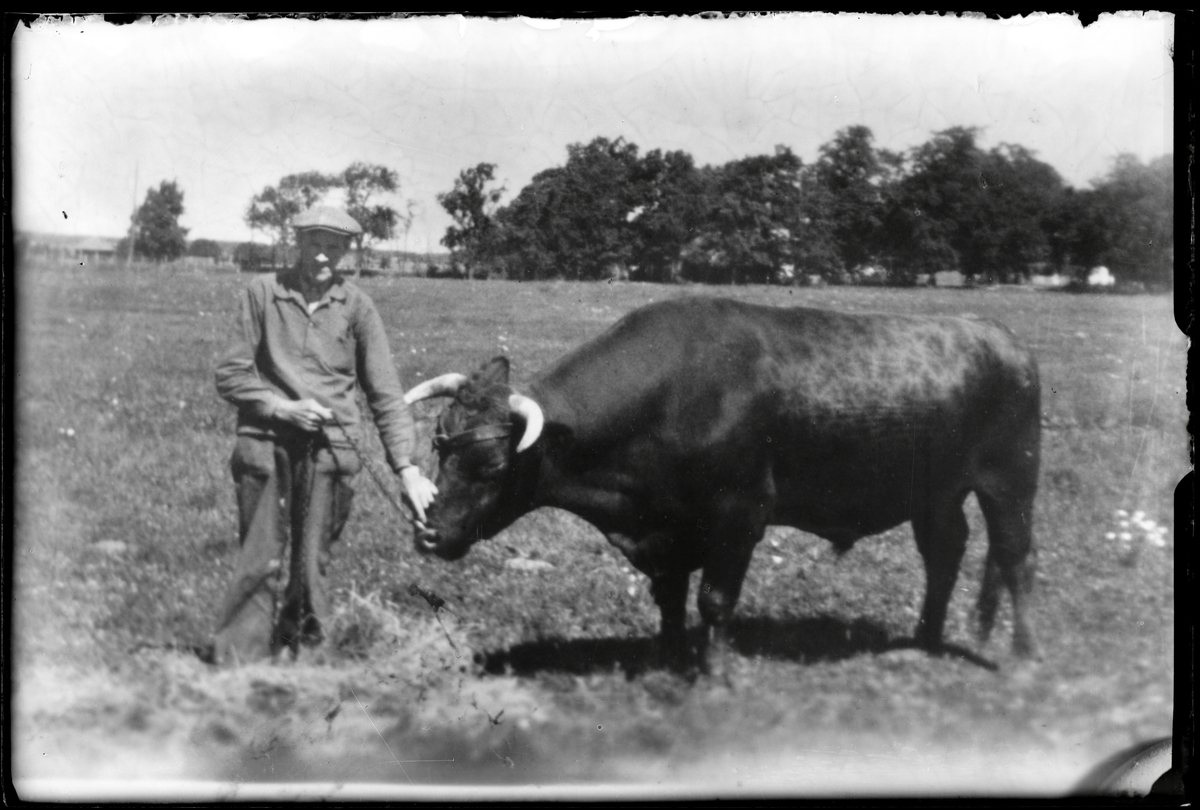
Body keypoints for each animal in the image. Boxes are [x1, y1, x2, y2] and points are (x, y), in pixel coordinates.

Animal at [403, 296, 1041, 678]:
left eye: (491, 465)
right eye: (439, 444)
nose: (429, 533)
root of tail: (996, 333)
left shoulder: (739, 516)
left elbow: (714, 599)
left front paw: (713, 673)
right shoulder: (666, 530)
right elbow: (669, 595)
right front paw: (666, 657)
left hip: (1010, 479)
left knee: (1014, 557)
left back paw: (1023, 655)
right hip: (937, 493)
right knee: (945, 551)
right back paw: (923, 642)